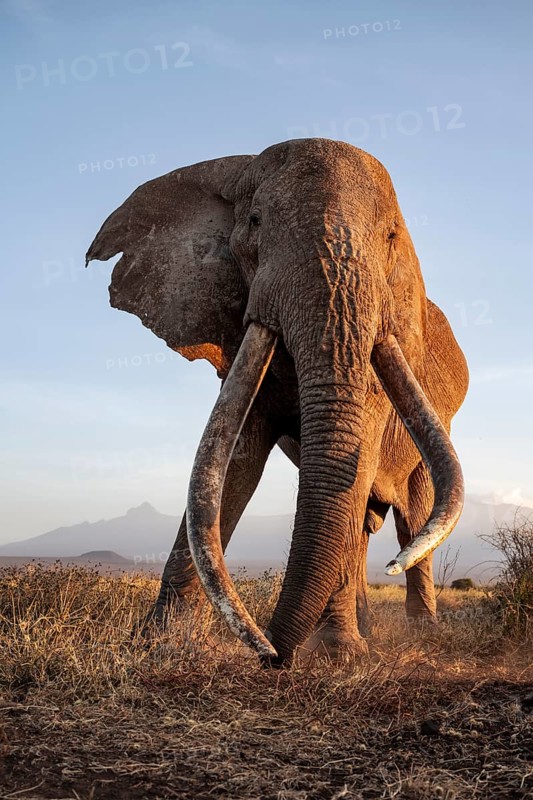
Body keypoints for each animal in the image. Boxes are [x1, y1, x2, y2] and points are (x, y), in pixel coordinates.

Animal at [87, 138, 468, 667]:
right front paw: (159, 644)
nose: (271, 655)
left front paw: (338, 655)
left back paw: (420, 633)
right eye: (255, 222)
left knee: (412, 523)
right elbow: (232, 465)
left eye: (392, 236)